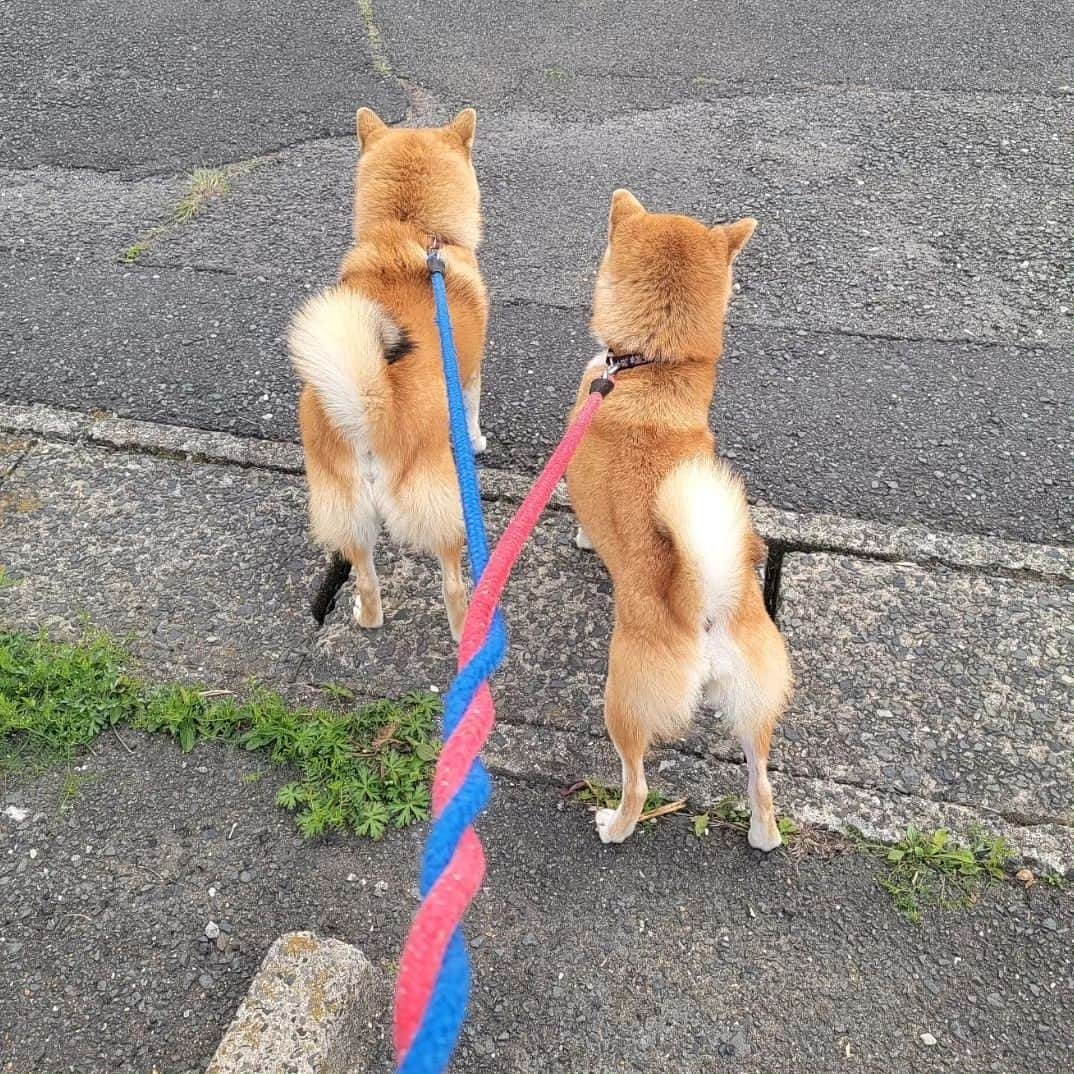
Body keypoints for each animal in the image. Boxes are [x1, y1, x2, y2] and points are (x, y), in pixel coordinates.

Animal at [285, 107, 487, 635]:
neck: (409, 228)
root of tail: (371, 410)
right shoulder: (470, 374)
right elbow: (473, 412)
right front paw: (477, 442)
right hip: (442, 505)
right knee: (452, 585)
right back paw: (466, 630)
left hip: (345, 512)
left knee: (367, 581)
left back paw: (365, 615)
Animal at [567, 189, 794, 850]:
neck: (650, 368)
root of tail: (705, 607)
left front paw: (582, 538)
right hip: (755, 705)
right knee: (762, 785)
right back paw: (762, 836)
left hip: (622, 700)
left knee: (638, 784)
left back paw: (613, 826)